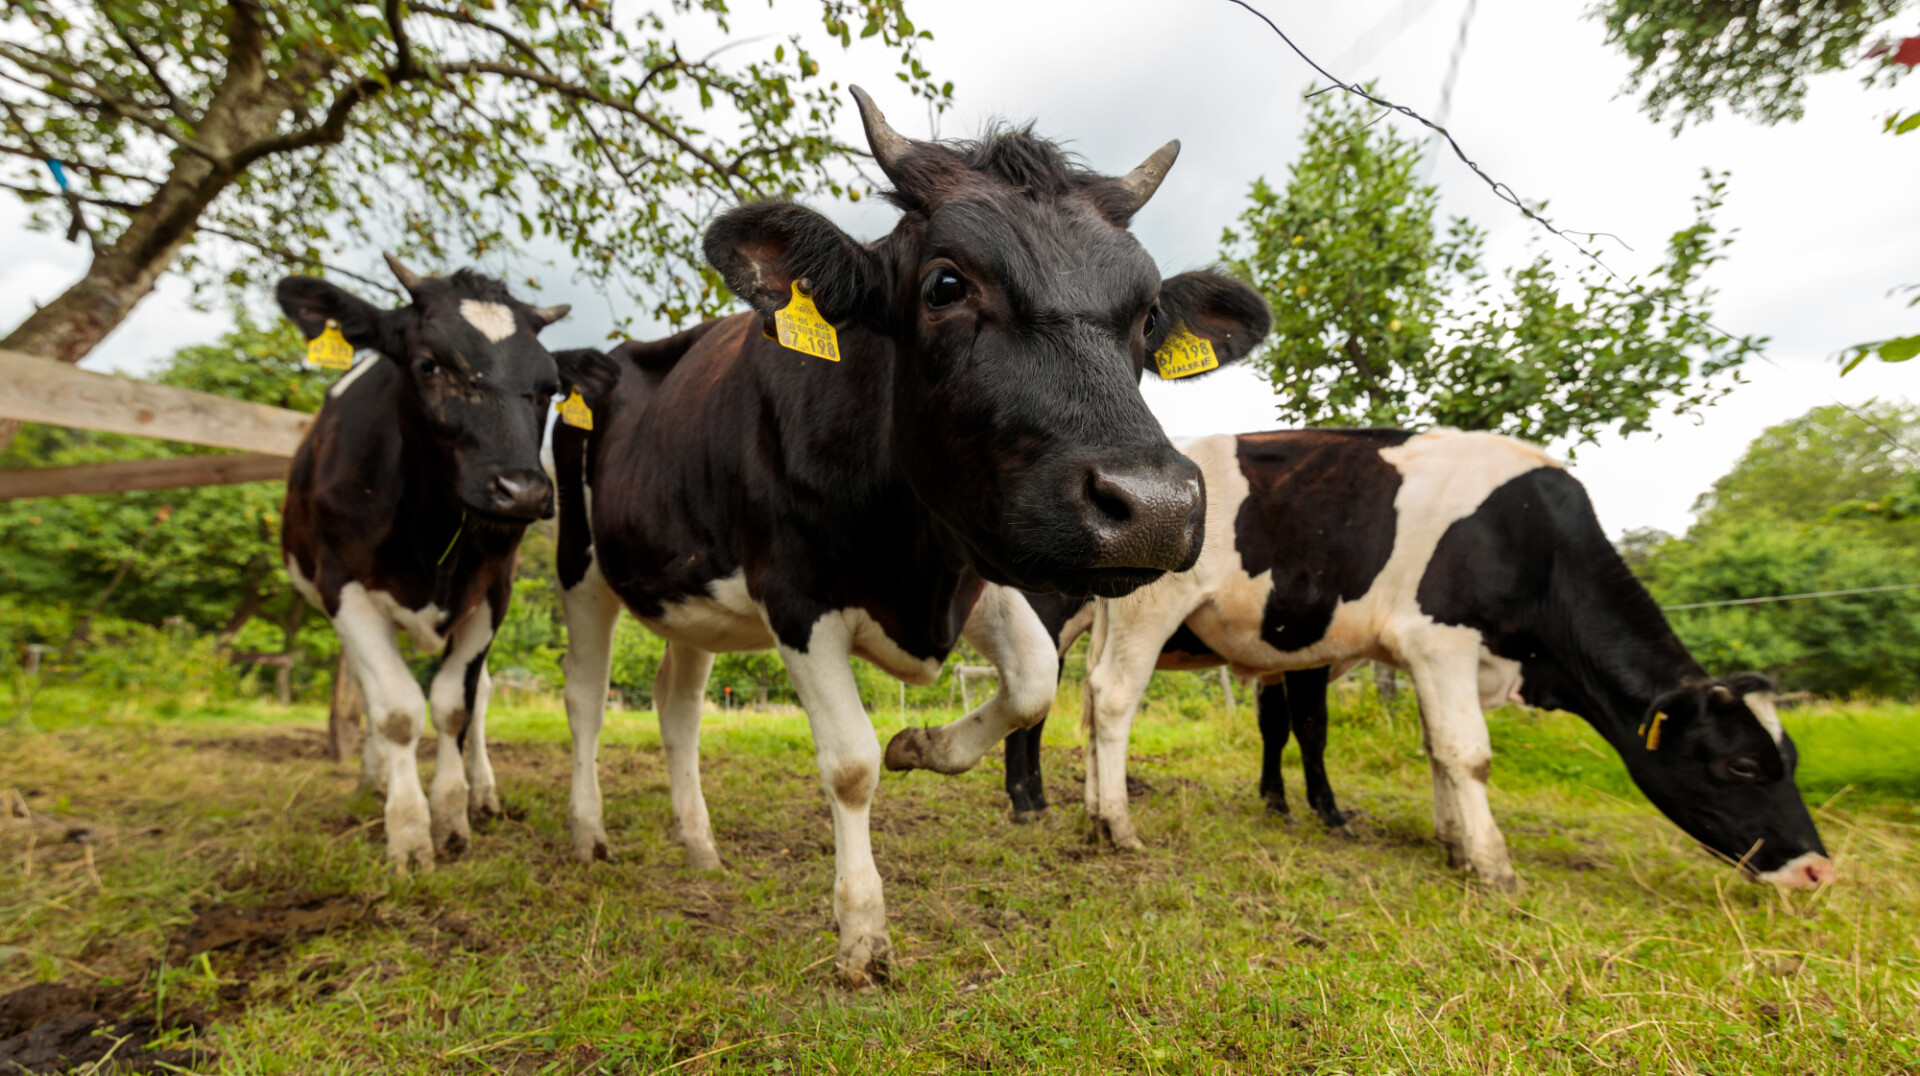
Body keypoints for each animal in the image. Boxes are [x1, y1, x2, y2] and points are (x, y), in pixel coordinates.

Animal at [274, 259, 606, 876]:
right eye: (428, 364)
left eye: (549, 387)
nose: (522, 491)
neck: (427, 528)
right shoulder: (343, 586)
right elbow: (397, 711)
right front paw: (408, 832)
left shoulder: (492, 591)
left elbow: (456, 706)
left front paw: (451, 815)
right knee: (369, 691)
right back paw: (375, 780)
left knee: (481, 694)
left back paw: (482, 792)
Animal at [552, 88, 1274, 991]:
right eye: (944, 284)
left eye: (1147, 316)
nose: (1152, 504)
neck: (913, 560)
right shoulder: (797, 596)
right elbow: (850, 764)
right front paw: (862, 933)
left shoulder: (979, 560)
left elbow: (1031, 685)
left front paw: (922, 744)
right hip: (580, 567)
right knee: (585, 698)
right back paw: (588, 835)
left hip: (694, 596)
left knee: (676, 704)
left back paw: (701, 847)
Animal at [990, 428, 1827, 891]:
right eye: (1743, 766)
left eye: (1788, 758)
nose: (1819, 868)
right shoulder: (1440, 639)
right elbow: (1467, 752)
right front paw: (1492, 865)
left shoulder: (1426, 658)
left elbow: (1433, 749)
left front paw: (1453, 843)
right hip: (1140, 609)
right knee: (1108, 698)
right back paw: (1111, 824)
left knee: (1086, 702)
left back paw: (1087, 807)